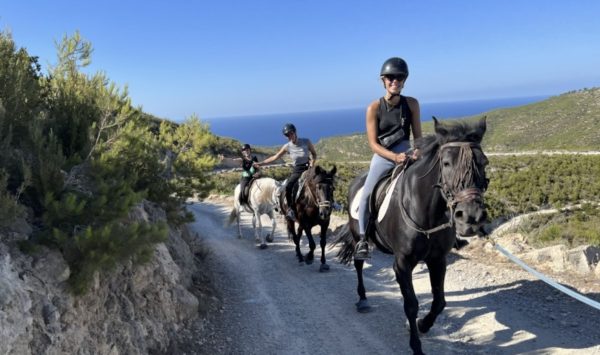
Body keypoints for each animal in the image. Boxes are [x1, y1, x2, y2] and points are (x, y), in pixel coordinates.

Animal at [336, 118, 490, 354]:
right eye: (446, 163)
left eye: (484, 163)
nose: (471, 216)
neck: (427, 212)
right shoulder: (402, 263)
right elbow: (411, 304)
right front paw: (416, 344)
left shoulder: (437, 260)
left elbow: (439, 302)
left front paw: (423, 325)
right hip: (356, 236)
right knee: (359, 264)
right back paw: (362, 299)